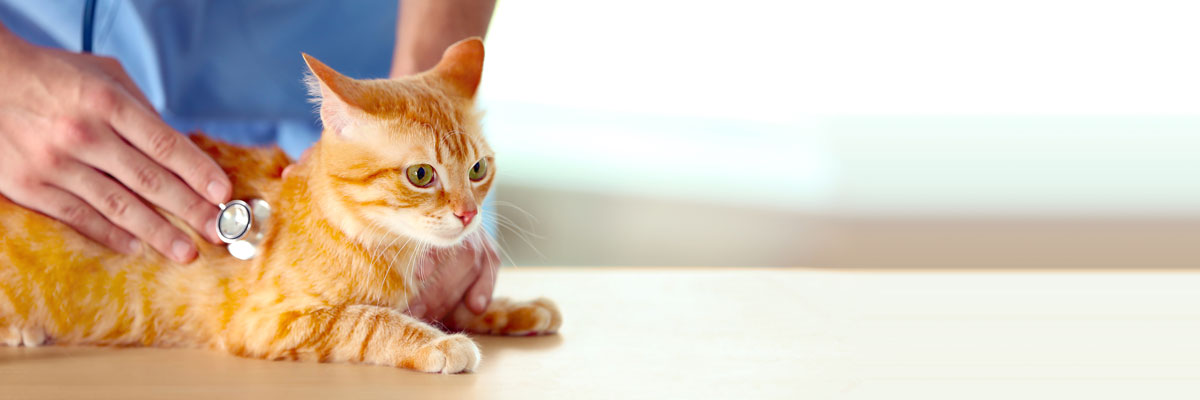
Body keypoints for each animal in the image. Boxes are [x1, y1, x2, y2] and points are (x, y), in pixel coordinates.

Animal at [0, 39, 556, 372]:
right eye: (421, 175)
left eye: (478, 170)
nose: (468, 215)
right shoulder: (272, 323)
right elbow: (368, 321)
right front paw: (438, 342)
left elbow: (456, 308)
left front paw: (512, 307)